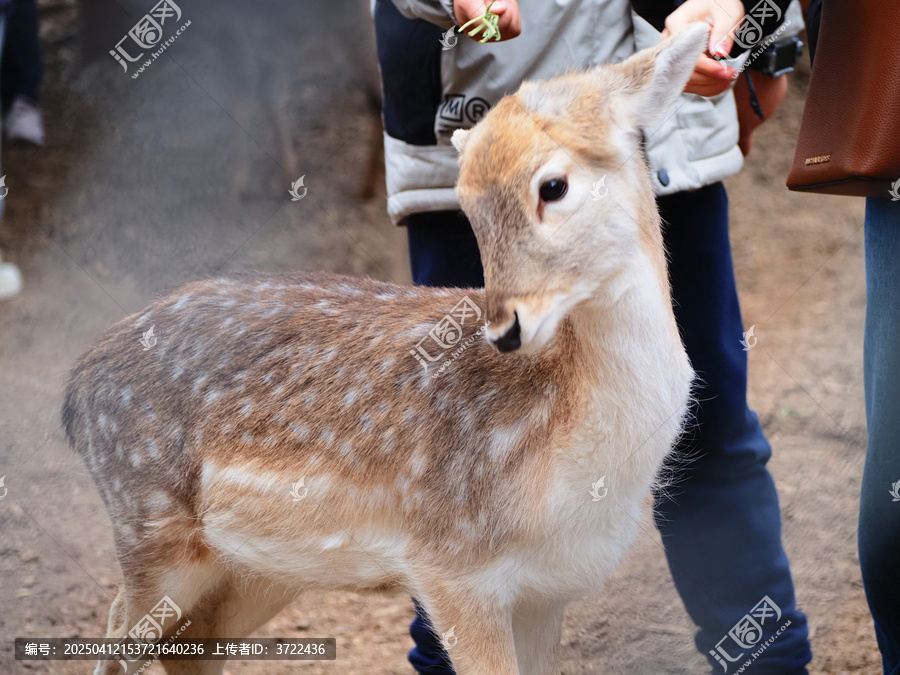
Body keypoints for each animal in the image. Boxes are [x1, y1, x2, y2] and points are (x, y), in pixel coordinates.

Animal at [63, 22, 708, 675]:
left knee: (192, 640)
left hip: (254, 569)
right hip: (151, 527)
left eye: (553, 185)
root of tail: (74, 391)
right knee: (118, 635)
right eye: (463, 203)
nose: (505, 328)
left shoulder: (548, 591)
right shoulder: (452, 566)